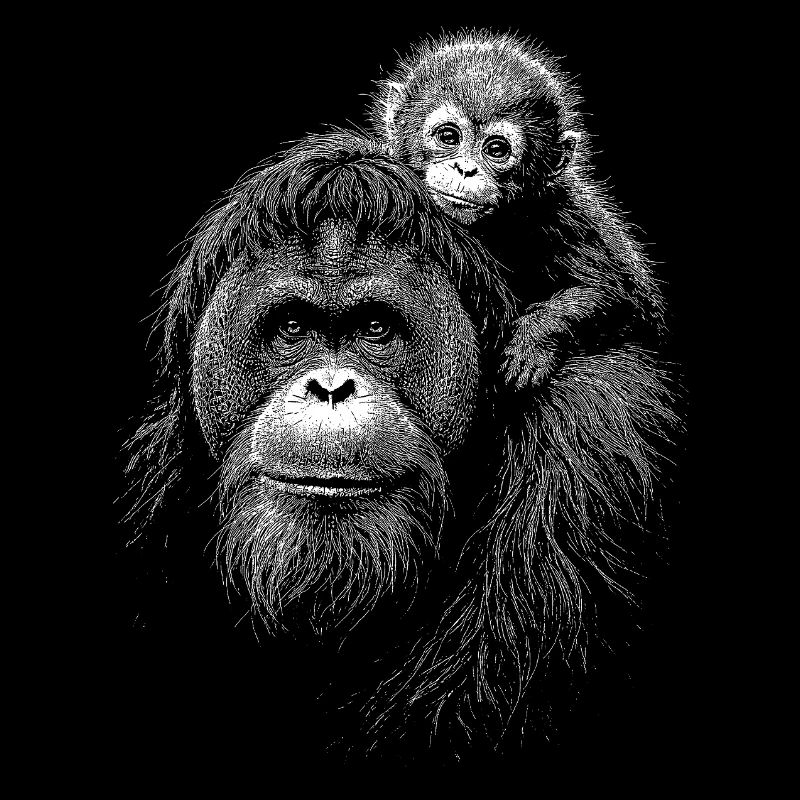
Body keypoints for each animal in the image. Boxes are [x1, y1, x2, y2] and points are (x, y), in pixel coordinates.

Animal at [367, 30, 666, 388]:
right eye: (448, 136)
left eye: (496, 149)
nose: (465, 169)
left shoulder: (561, 216)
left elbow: (615, 293)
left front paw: (535, 339)